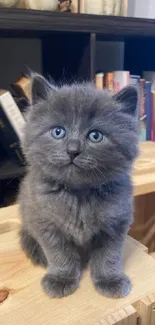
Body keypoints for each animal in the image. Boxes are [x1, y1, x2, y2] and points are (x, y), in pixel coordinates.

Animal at [18, 74, 139, 298]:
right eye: (58, 132)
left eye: (95, 135)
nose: (72, 150)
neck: (79, 195)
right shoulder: (45, 223)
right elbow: (59, 254)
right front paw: (61, 278)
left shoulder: (117, 223)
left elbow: (109, 255)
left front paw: (110, 280)